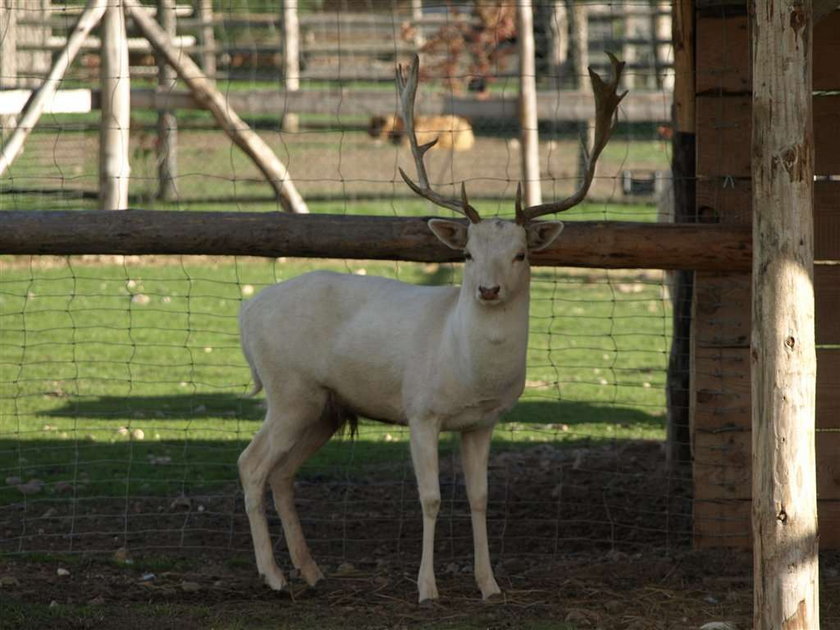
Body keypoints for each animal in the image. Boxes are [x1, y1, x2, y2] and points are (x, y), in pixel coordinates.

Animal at [236, 53, 624, 604]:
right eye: (467, 254)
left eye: (521, 254)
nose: (488, 290)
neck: (468, 368)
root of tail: (246, 313)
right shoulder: (420, 410)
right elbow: (431, 497)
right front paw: (427, 588)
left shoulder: (484, 421)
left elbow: (480, 497)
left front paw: (490, 585)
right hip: (288, 389)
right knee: (251, 464)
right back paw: (271, 576)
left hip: (324, 407)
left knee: (283, 473)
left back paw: (310, 571)